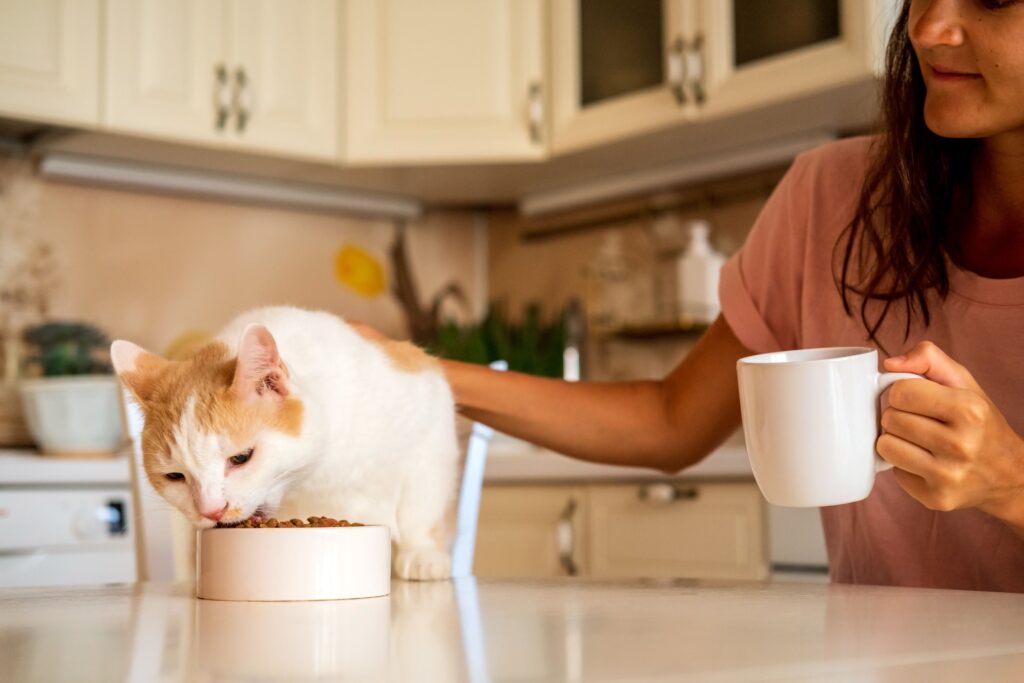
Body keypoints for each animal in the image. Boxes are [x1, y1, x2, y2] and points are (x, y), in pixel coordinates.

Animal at [110, 307, 458, 581]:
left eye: (241, 458)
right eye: (175, 476)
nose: (211, 511)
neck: (317, 479)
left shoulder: (430, 404)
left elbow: (419, 506)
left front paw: (422, 553)